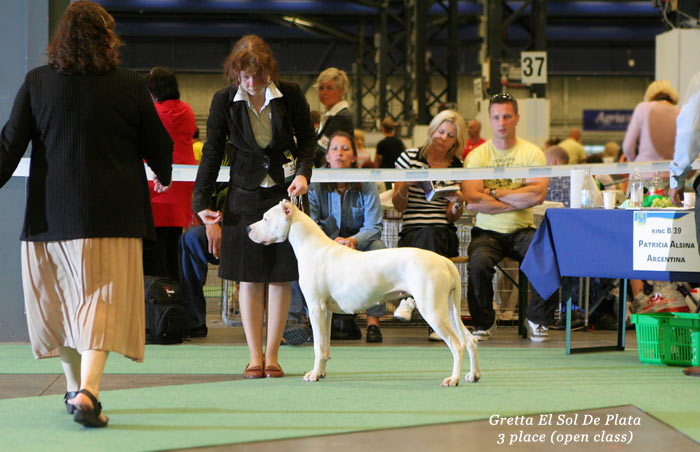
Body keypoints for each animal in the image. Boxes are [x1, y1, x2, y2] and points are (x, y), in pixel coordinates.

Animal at [247, 200, 482, 386]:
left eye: (266, 218)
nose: (248, 229)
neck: (312, 247)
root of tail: (444, 261)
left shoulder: (315, 308)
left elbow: (317, 347)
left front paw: (313, 375)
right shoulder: (326, 311)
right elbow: (325, 346)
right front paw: (321, 372)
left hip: (433, 310)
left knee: (458, 345)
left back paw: (453, 379)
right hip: (449, 309)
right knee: (470, 340)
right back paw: (473, 375)